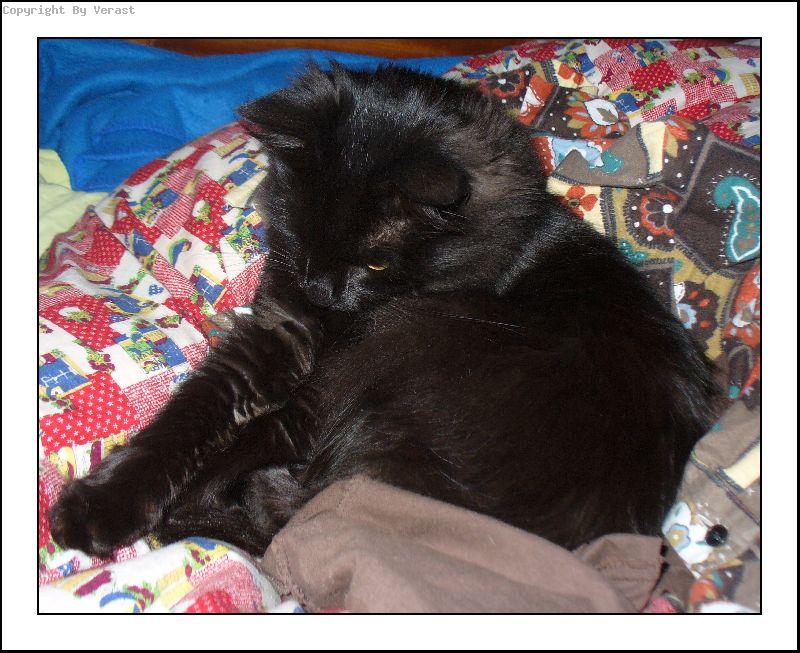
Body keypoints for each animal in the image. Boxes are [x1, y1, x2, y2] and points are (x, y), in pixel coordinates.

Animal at [50, 63, 721, 557]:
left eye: (374, 265)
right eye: (302, 239)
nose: (321, 291)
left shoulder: (329, 379)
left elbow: (232, 440)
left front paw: (158, 508)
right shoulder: (279, 330)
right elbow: (189, 415)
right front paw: (102, 503)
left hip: (405, 348)